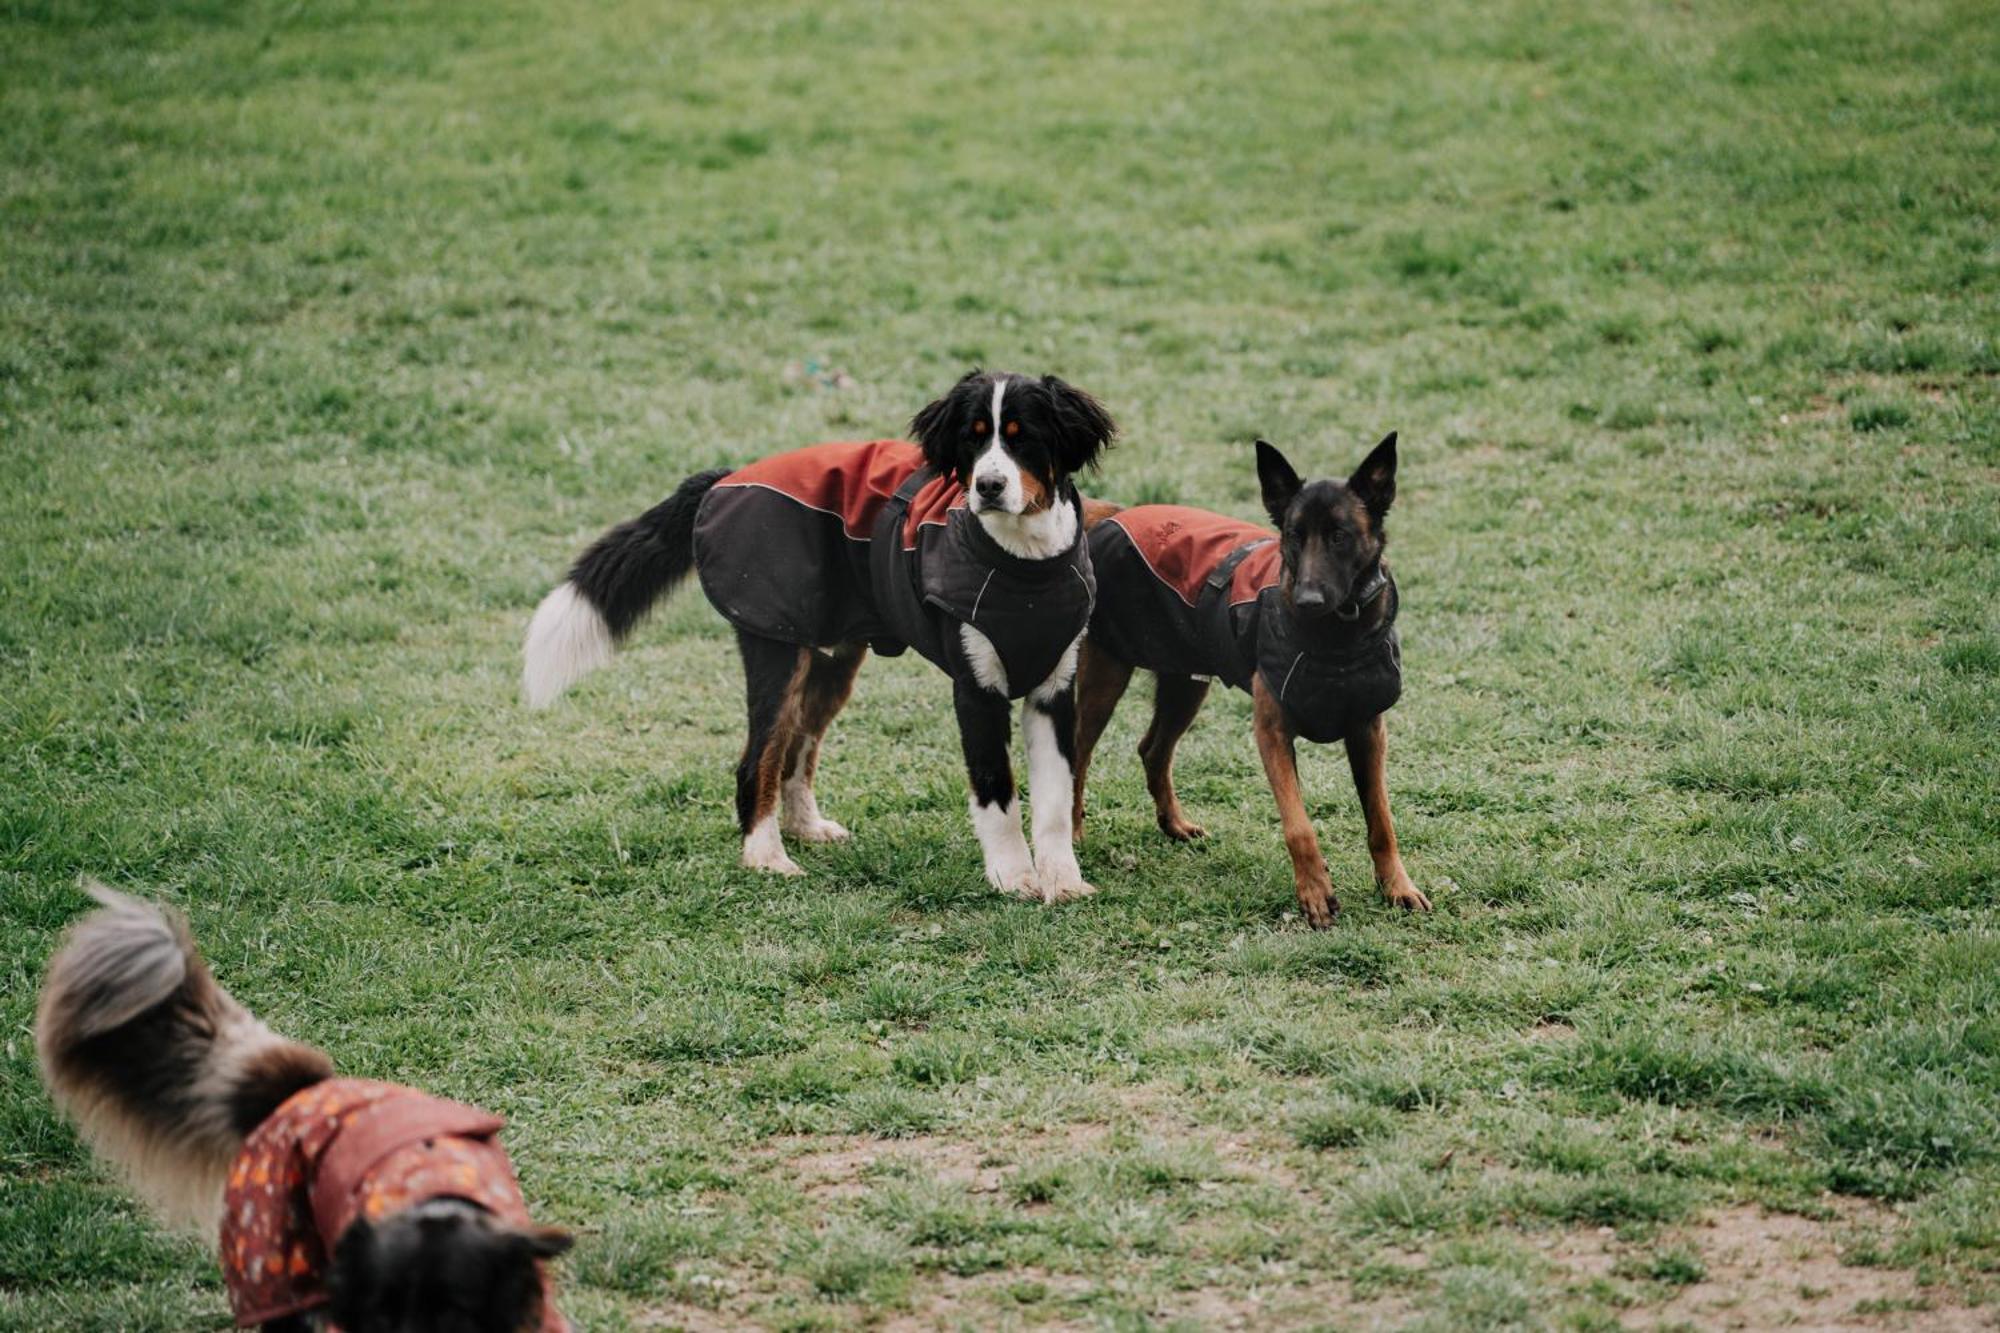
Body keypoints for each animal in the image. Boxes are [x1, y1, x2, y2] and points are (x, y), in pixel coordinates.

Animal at [520, 368, 1112, 896]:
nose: (988, 487)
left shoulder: (1054, 690)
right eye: (973, 438)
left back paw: (804, 828)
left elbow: (1055, 803)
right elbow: (998, 794)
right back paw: (766, 856)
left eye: (1022, 437)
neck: (1024, 565)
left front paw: (1063, 880)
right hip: (775, 650)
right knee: (757, 760)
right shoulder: (976, 691)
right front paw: (1013, 877)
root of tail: (727, 477)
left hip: (831, 660)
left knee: (795, 749)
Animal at [1072, 434, 1432, 924]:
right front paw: (1315, 891)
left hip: (1186, 685)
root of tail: (1117, 515)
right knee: (1077, 757)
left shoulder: (1368, 732)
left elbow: (1382, 821)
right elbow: (1299, 826)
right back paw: (1070, 838)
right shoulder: (1272, 732)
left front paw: (1397, 886)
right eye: (1294, 536)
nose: (1308, 599)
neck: (1338, 640)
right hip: (1106, 679)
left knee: (1153, 750)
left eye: (1340, 536)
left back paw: (1174, 823)